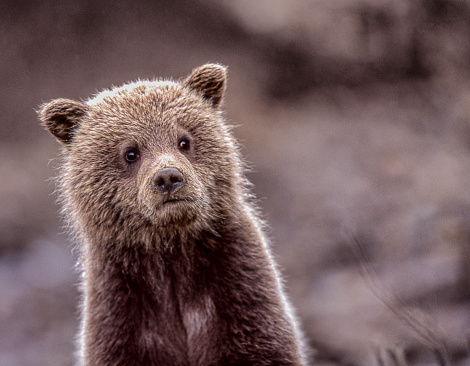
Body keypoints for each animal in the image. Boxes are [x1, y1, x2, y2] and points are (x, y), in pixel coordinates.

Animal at [37, 64, 308, 364]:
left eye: (184, 141)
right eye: (130, 152)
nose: (168, 177)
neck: (170, 251)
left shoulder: (239, 291)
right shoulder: (122, 309)